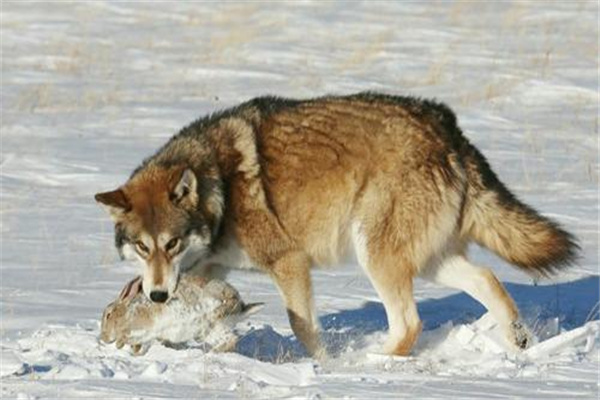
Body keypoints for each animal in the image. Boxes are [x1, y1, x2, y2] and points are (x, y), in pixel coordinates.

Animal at [100, 276, 262, 356]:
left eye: (108, 315)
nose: (104, 338)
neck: (126, 313)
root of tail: (241, 307)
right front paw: (134, 352)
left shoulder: (142, 326)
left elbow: (126, 337)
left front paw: (119, 345)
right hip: (212, 331)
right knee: (230, 340)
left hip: (213, 320)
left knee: (231, 339)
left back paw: (208, 353)